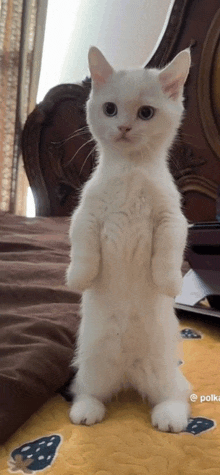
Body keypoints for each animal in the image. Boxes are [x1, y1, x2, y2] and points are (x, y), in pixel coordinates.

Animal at [66, 46, 192, 434]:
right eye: (110, 109)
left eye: (146, 113)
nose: (123, 126)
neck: (130, 170)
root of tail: (128, 371)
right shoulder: (86, 214)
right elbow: (83, 249)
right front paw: (79, 277)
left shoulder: (172, 218)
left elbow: (169, 252)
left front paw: (169, 283)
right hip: (93, 366)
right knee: (88, 392)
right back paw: (86, 411)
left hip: (163, 370)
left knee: (175, 395)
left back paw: (170, 418)